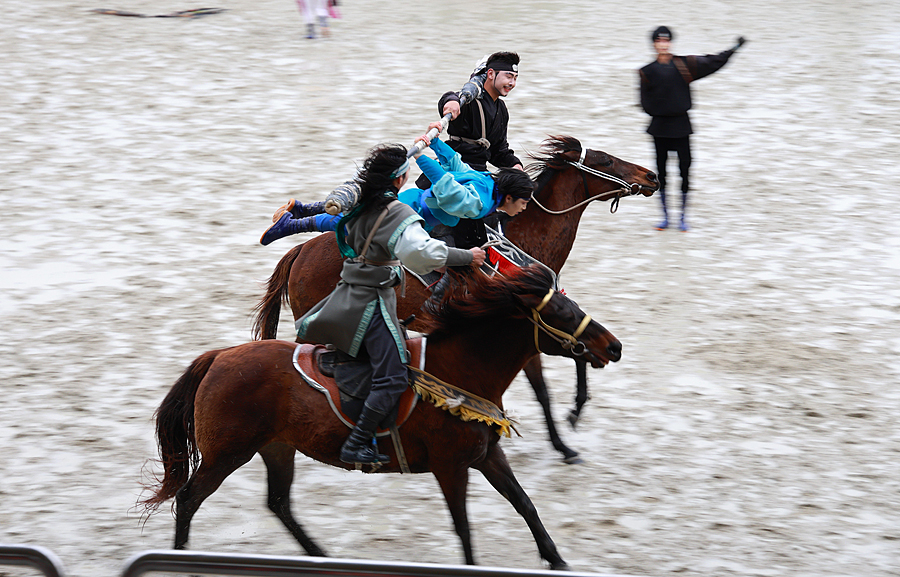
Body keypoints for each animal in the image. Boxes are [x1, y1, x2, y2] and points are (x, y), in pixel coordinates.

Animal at [144, 266, 624, 568]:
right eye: (563, 312)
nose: (614, 346)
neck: (460, 370)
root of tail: (219, 357)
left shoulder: (486, 456)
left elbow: (525, 505)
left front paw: (557, 559)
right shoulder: (451, 468)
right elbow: (464, 527)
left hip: (276, 448)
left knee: (278, 503)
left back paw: (320, 555)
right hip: (228, 453)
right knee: (188, 500)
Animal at [250, 136, 656, 464]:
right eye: (606, 161)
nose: (650, 176)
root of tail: (299, 254)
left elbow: (577, 354)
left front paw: (575, 412)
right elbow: (544, 389)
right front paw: (564, 445)